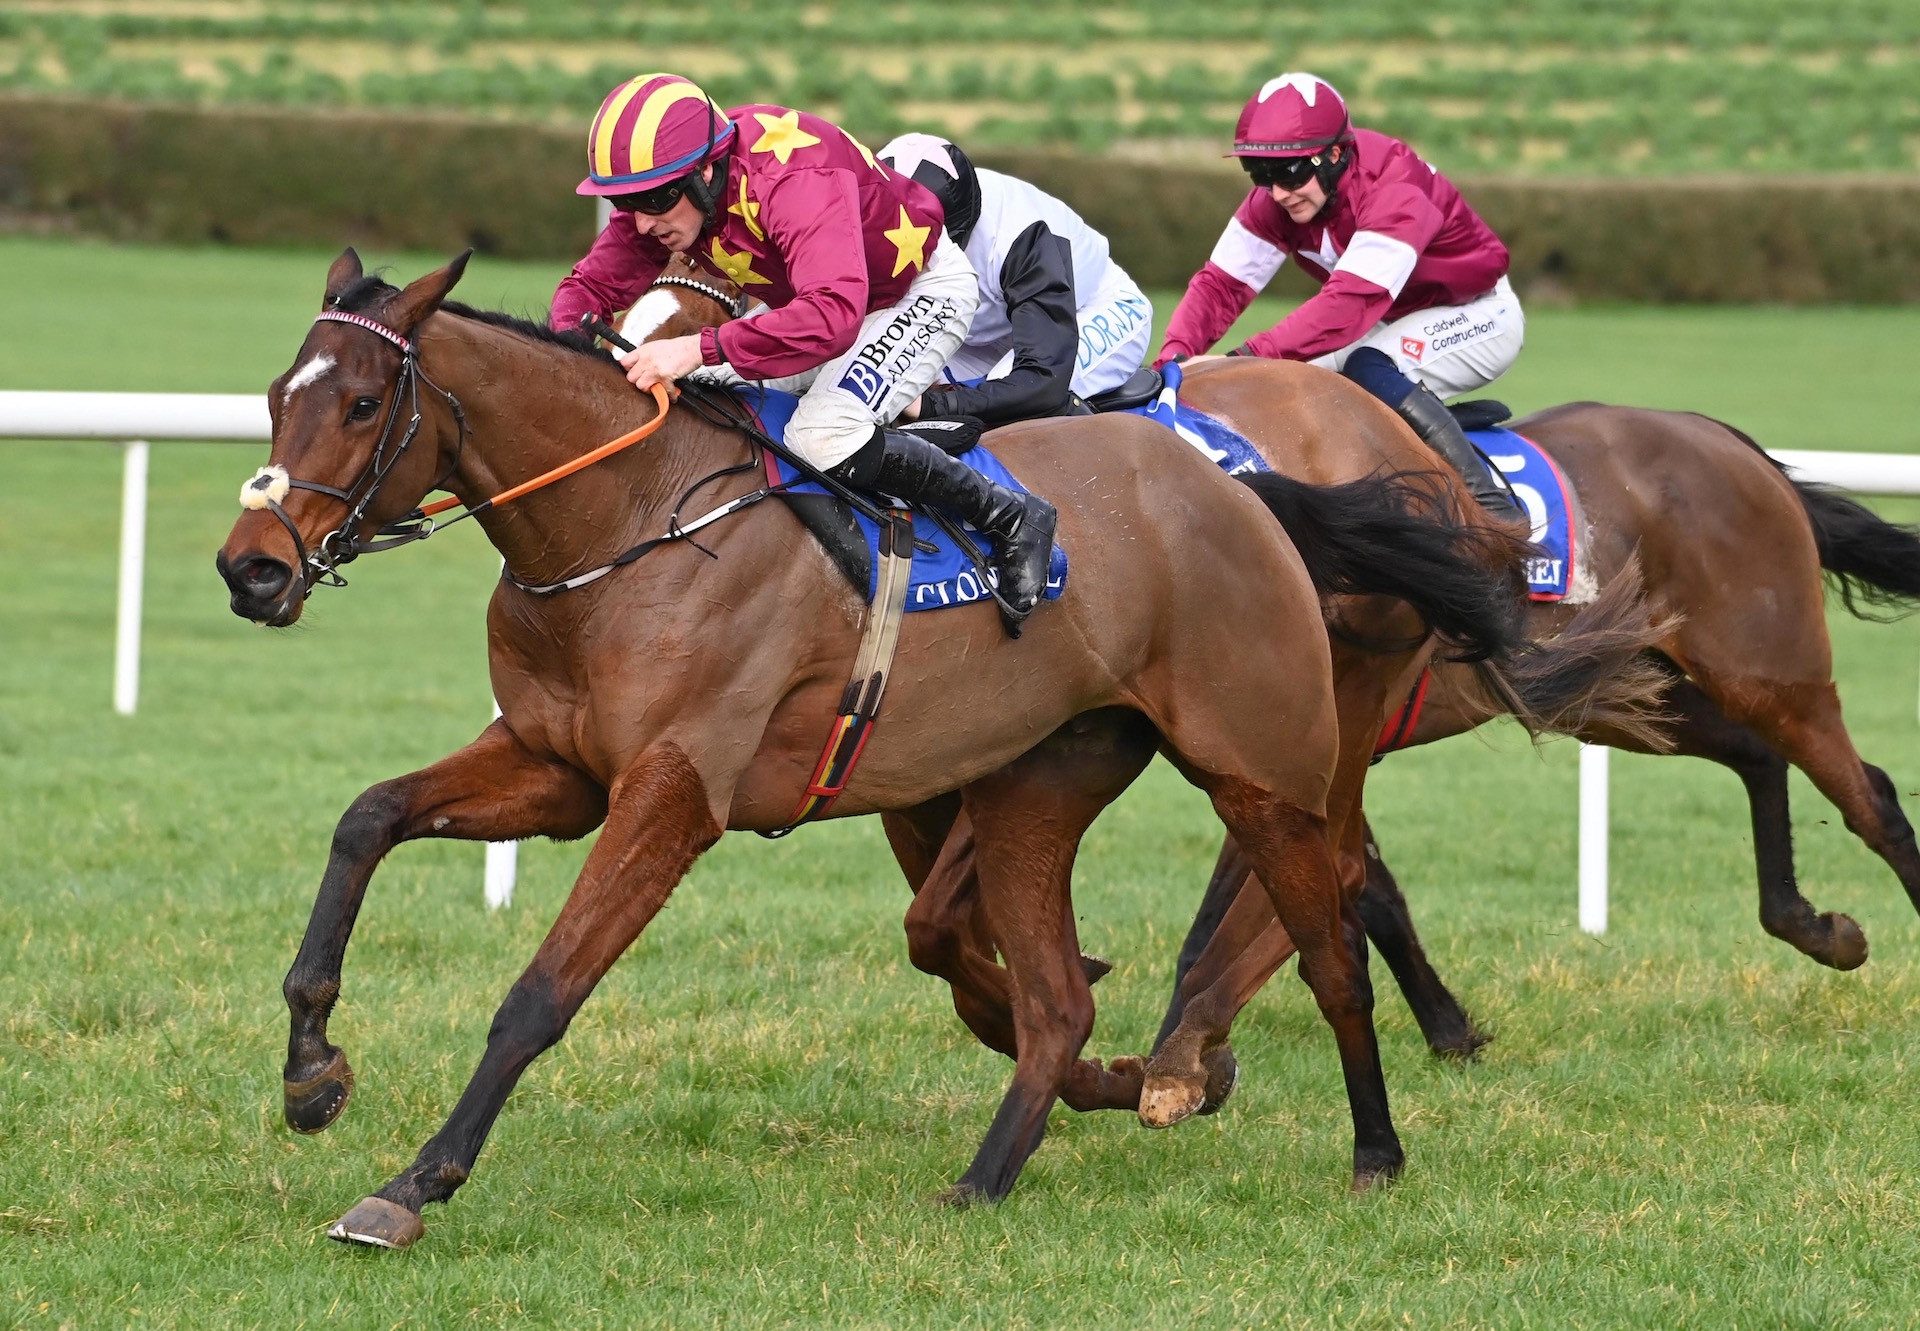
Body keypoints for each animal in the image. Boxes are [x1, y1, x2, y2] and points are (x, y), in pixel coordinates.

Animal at [214, 245, 1559, 1244]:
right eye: (277, 395)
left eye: (362, 403)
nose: (252, 568)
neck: (626, 524)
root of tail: (1240, 490)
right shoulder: (561, 770)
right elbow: (368, 816)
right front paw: (312, 1069)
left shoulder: (672, 792)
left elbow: (541, 992)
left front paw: (413, 1182)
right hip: (1040, 784)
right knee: (1058, 1003)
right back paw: (998, 1168)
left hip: (1265, 766)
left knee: (1331, 943)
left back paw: (1371, 1146)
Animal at [1152, 397, 1920, 1067]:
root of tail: (1727, 440)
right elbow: (1356, 894)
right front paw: (1449, 1030)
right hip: (1618, 690)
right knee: (1758, 755)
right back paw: (1810, 924)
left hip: (1771, 670)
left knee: (1870, 799)